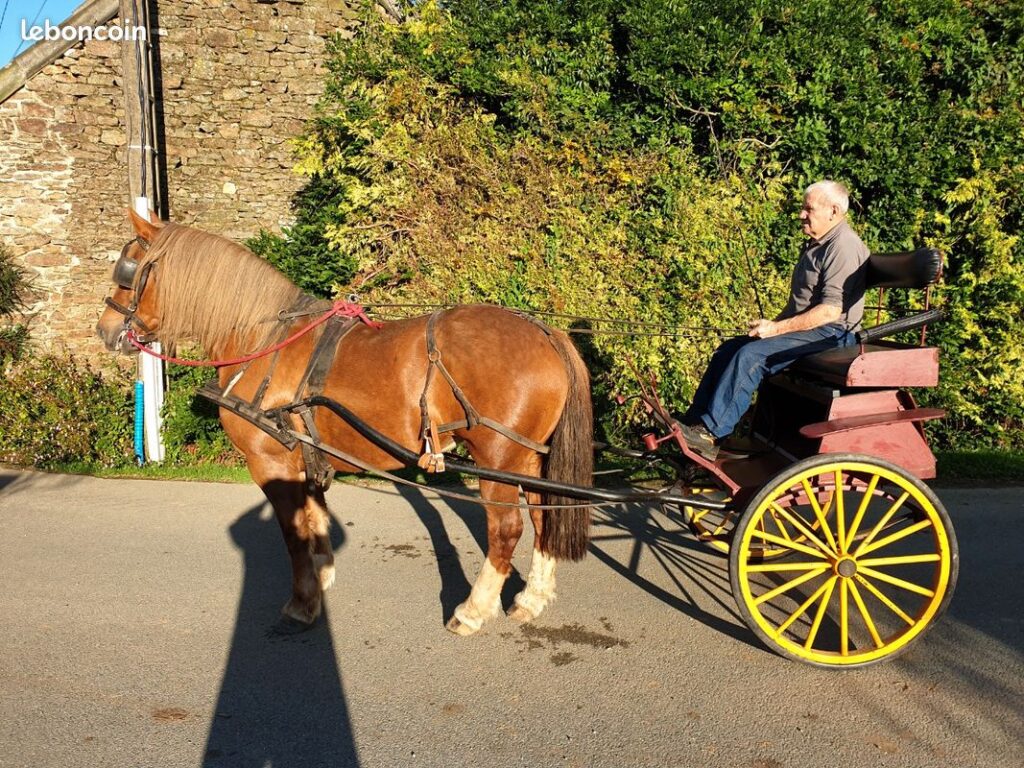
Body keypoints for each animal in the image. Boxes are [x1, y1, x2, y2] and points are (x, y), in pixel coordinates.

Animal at [96, 210, 593, 635]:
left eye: (128, 271)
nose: (104, 329)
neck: (263, 340)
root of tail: (545, 332)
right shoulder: (306, 457)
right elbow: (315, 520)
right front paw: (322, 577)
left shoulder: (271, 462)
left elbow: (293, 533)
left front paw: (302, 604)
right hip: (528, 458)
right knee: (545, 518)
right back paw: (531, 599)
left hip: (499, 456)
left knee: (507, 529)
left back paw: (473, 610)